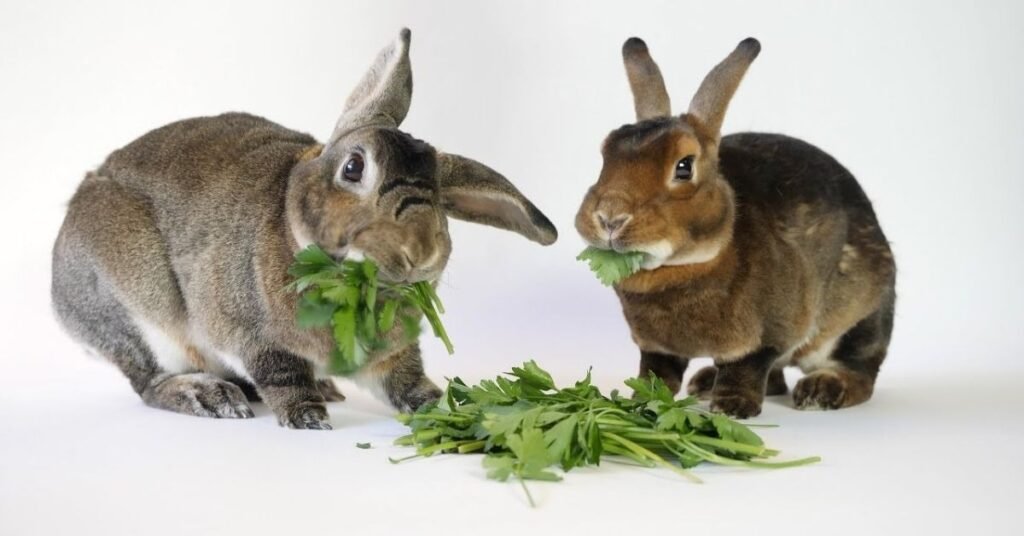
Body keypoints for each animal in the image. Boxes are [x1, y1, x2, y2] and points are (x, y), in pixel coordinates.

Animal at [51, 28, 558, 429]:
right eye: (354, 167)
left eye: (438, 195)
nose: (422, 252)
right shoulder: (252, 334)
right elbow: (281, 374)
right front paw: (308, 418)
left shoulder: (391, 357)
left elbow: (407, 381)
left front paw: (449, 406)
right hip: (139, 313)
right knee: (150, 380)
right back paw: (212, 397)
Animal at [575, 37, 895, 418]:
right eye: (605, 154)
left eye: (684, 167)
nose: (609, 217)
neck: (677, 267)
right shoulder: (657, 347)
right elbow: (656, 373)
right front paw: (640, 402)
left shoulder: (765, 336)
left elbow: (746, 368)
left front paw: (732, 408)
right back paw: (705, 382)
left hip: (855, 322)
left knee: (858, 371)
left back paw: (819, 392)